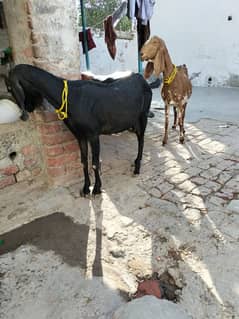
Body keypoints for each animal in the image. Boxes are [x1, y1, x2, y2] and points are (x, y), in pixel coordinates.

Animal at [9, 64, 152, 196]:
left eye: (12, 89)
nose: (28, 109)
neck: (71, 97)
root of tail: (142, 78)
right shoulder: (80, 135)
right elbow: (83, 162)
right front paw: (85, 189)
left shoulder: (93, 134)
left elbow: (95, 163)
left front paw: (96, 189)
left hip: (143, 115)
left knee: (141, 140)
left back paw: (137, 168)